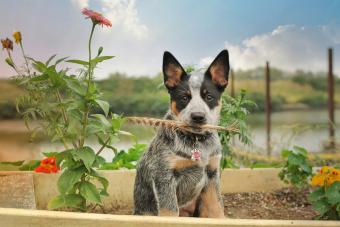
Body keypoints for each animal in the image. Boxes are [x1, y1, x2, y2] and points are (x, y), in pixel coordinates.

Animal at [133, 50, 228, 218]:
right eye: (184, 97)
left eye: (209, 97)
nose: (198, 116)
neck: (196, 141)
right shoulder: (164, 177)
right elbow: (170, 212)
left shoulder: (212, 174)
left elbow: (216, 208)